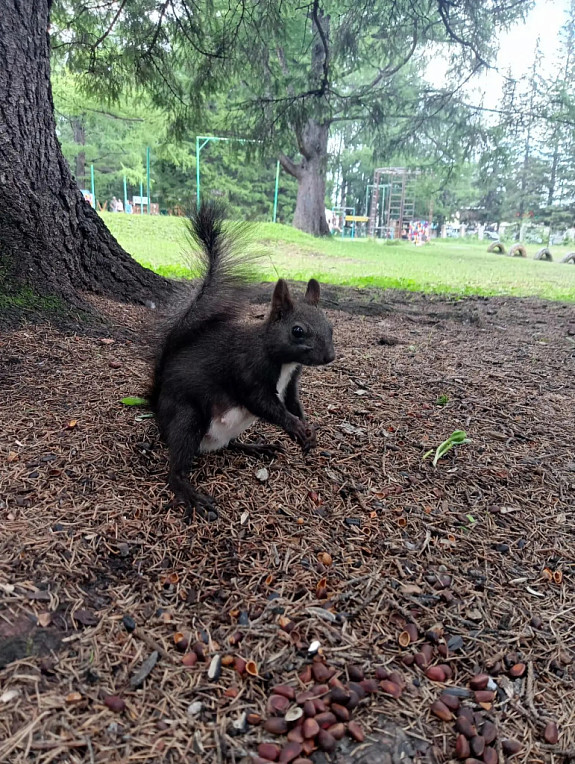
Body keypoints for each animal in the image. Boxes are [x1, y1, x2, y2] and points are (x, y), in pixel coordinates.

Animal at [149, 202, 335, 523]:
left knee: (230, 443)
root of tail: (158, 409)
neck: (282, 361)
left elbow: (293, 402)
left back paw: (256, 446)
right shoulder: (247, 371)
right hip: (187, 417)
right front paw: (296, 427)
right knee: (177, 466)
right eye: (297, 331)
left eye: (331, 327)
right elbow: (264, 404)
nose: (329, 357)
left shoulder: (292, 381)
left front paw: (307, 427)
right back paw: (189, 492)